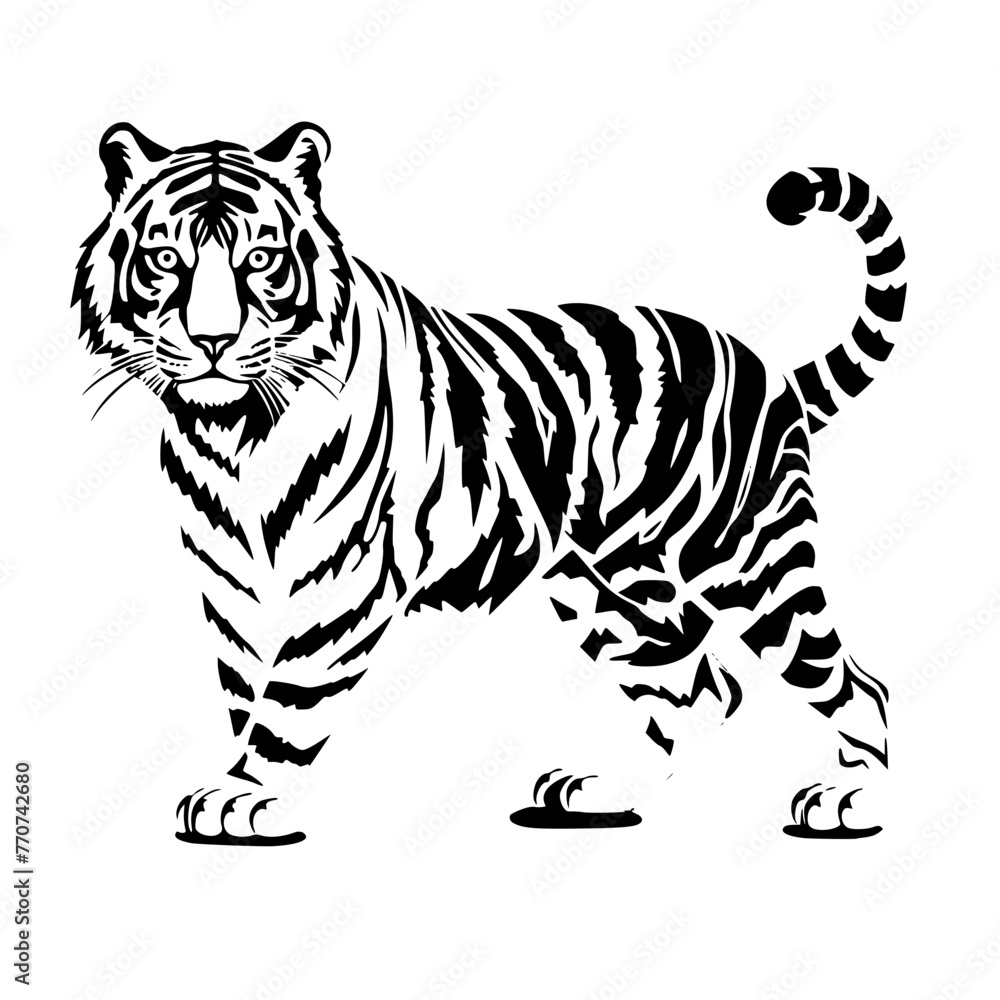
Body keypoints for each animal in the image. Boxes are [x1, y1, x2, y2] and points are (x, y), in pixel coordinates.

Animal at [74, 121, 905, 845]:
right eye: (164, 259)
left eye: (261, 259)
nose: (212, 341)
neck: (233, 434)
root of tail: (770, 367)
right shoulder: (232, 583)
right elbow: (244, 688)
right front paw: (238, 787)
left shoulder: (344, 584)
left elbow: (290, 698)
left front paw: (249, 795)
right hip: (612, 589)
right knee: (698, 686)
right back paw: (606, 790)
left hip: (750, 562)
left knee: (855, 684)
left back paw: (853, 796)